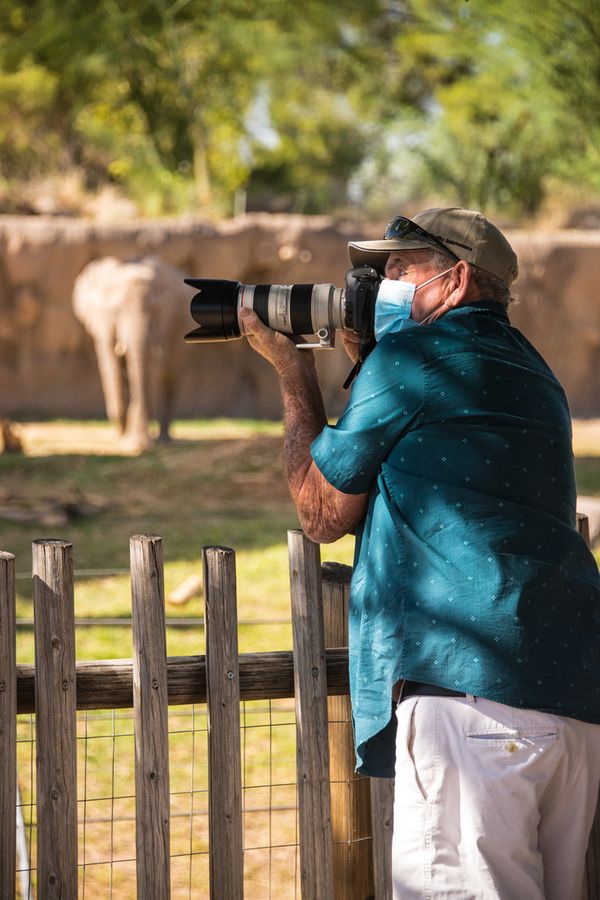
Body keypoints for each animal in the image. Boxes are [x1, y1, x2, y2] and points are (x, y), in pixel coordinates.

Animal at [72, 253, 192, 450]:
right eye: (115, 310)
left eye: (155, 310)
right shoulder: (102, 323)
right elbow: (111, 366)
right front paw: (124, 437)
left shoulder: (165, 322)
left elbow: (152, 367)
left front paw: (137, 444)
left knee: (171, 379)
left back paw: (163, 438)